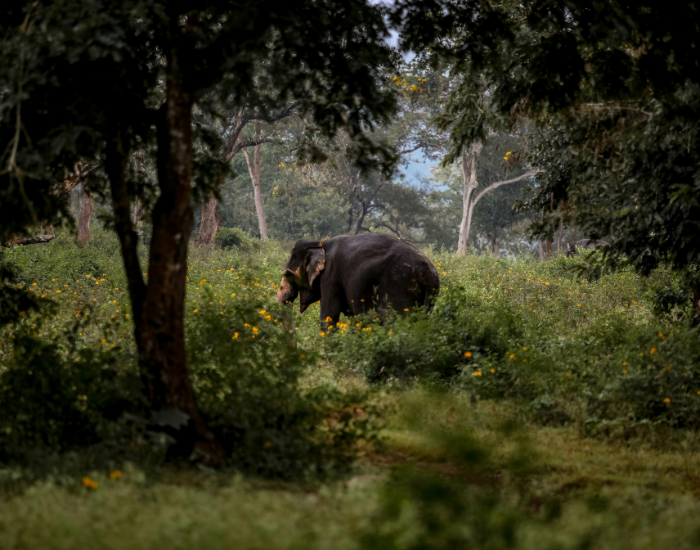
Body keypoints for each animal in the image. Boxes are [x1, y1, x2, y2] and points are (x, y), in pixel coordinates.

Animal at [276, 233, 440, 326]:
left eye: (288, 273)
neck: (318, 243)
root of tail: (428, 272)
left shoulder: (331, 276)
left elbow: (329, 317)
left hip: (399, 288)